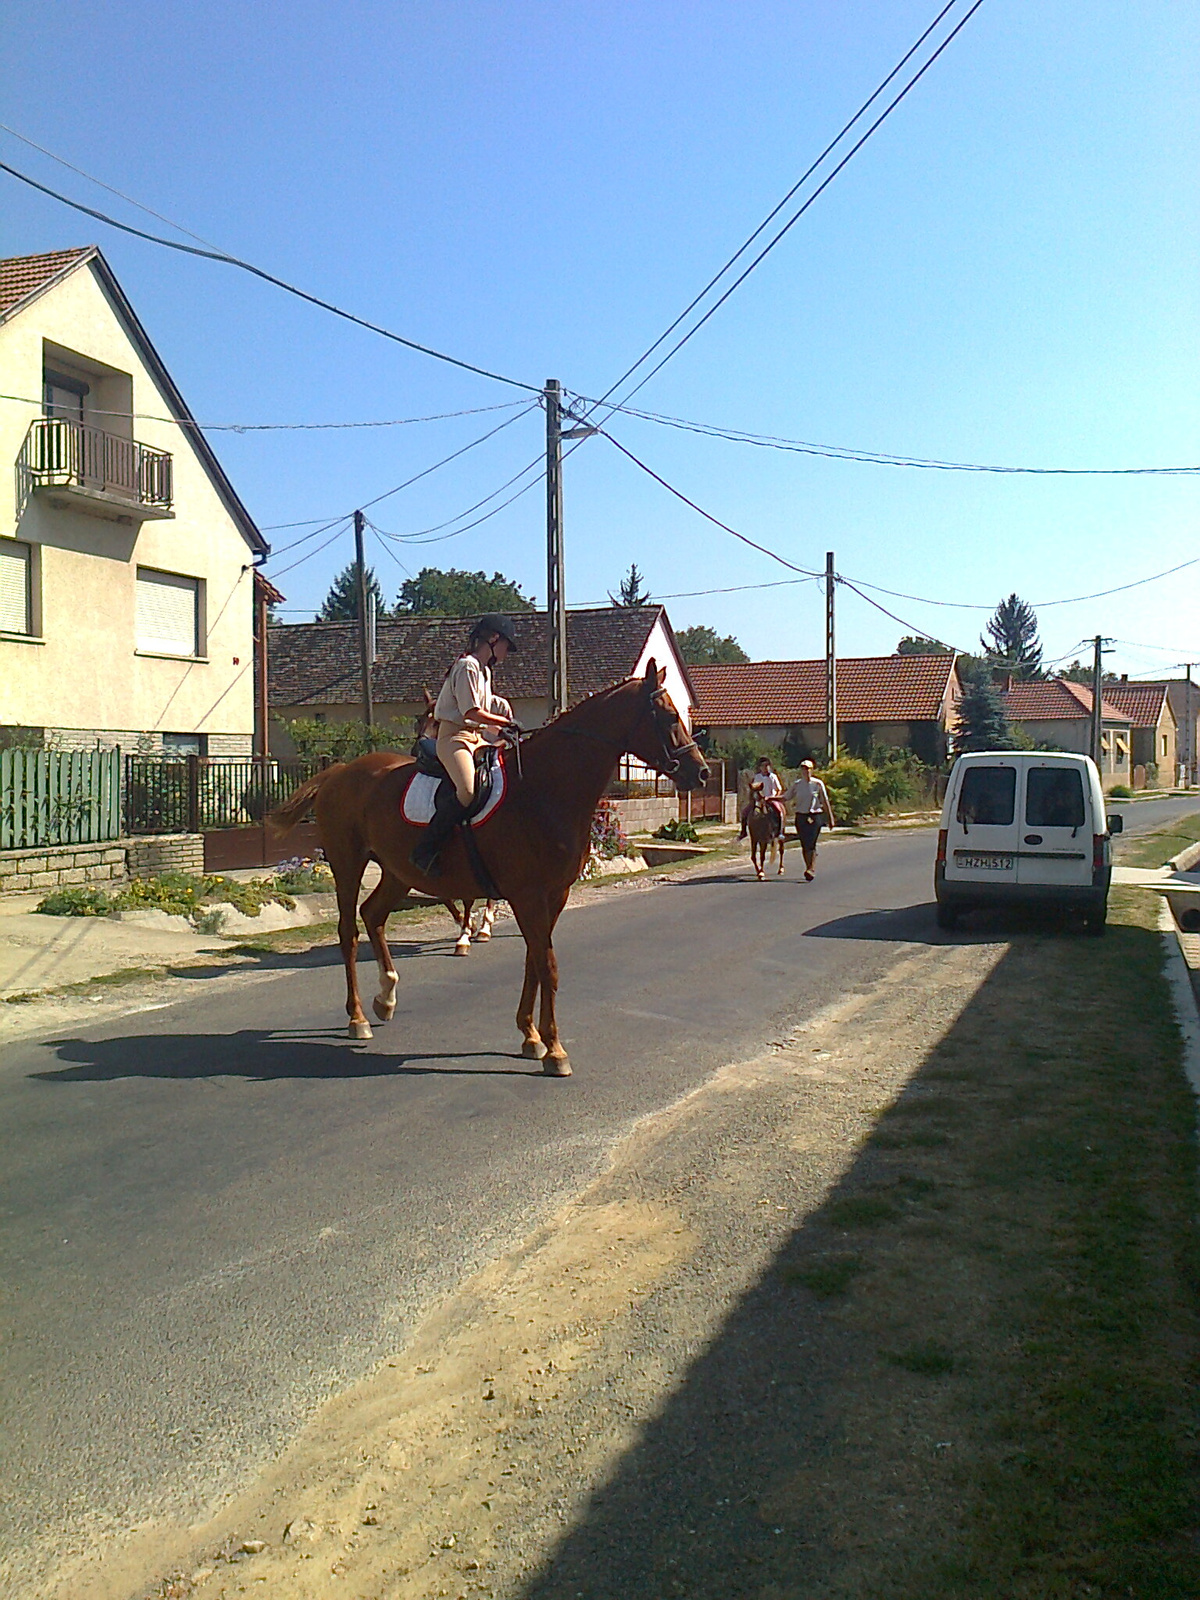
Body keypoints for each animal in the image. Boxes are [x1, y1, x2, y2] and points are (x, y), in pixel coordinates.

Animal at [272, 662, 704, 1075]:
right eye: (668, 717)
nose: (700, 772)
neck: (544, 788)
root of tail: (341, 771)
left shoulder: (553, 895)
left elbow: (534, 959)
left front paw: (530, 1036)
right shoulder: (528, 895)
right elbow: (547, 964)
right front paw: (554, 1050)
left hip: (398, 872)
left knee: (373, 915)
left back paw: (386, 998)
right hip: (348, 863)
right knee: (349, 931)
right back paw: (358, 1017)